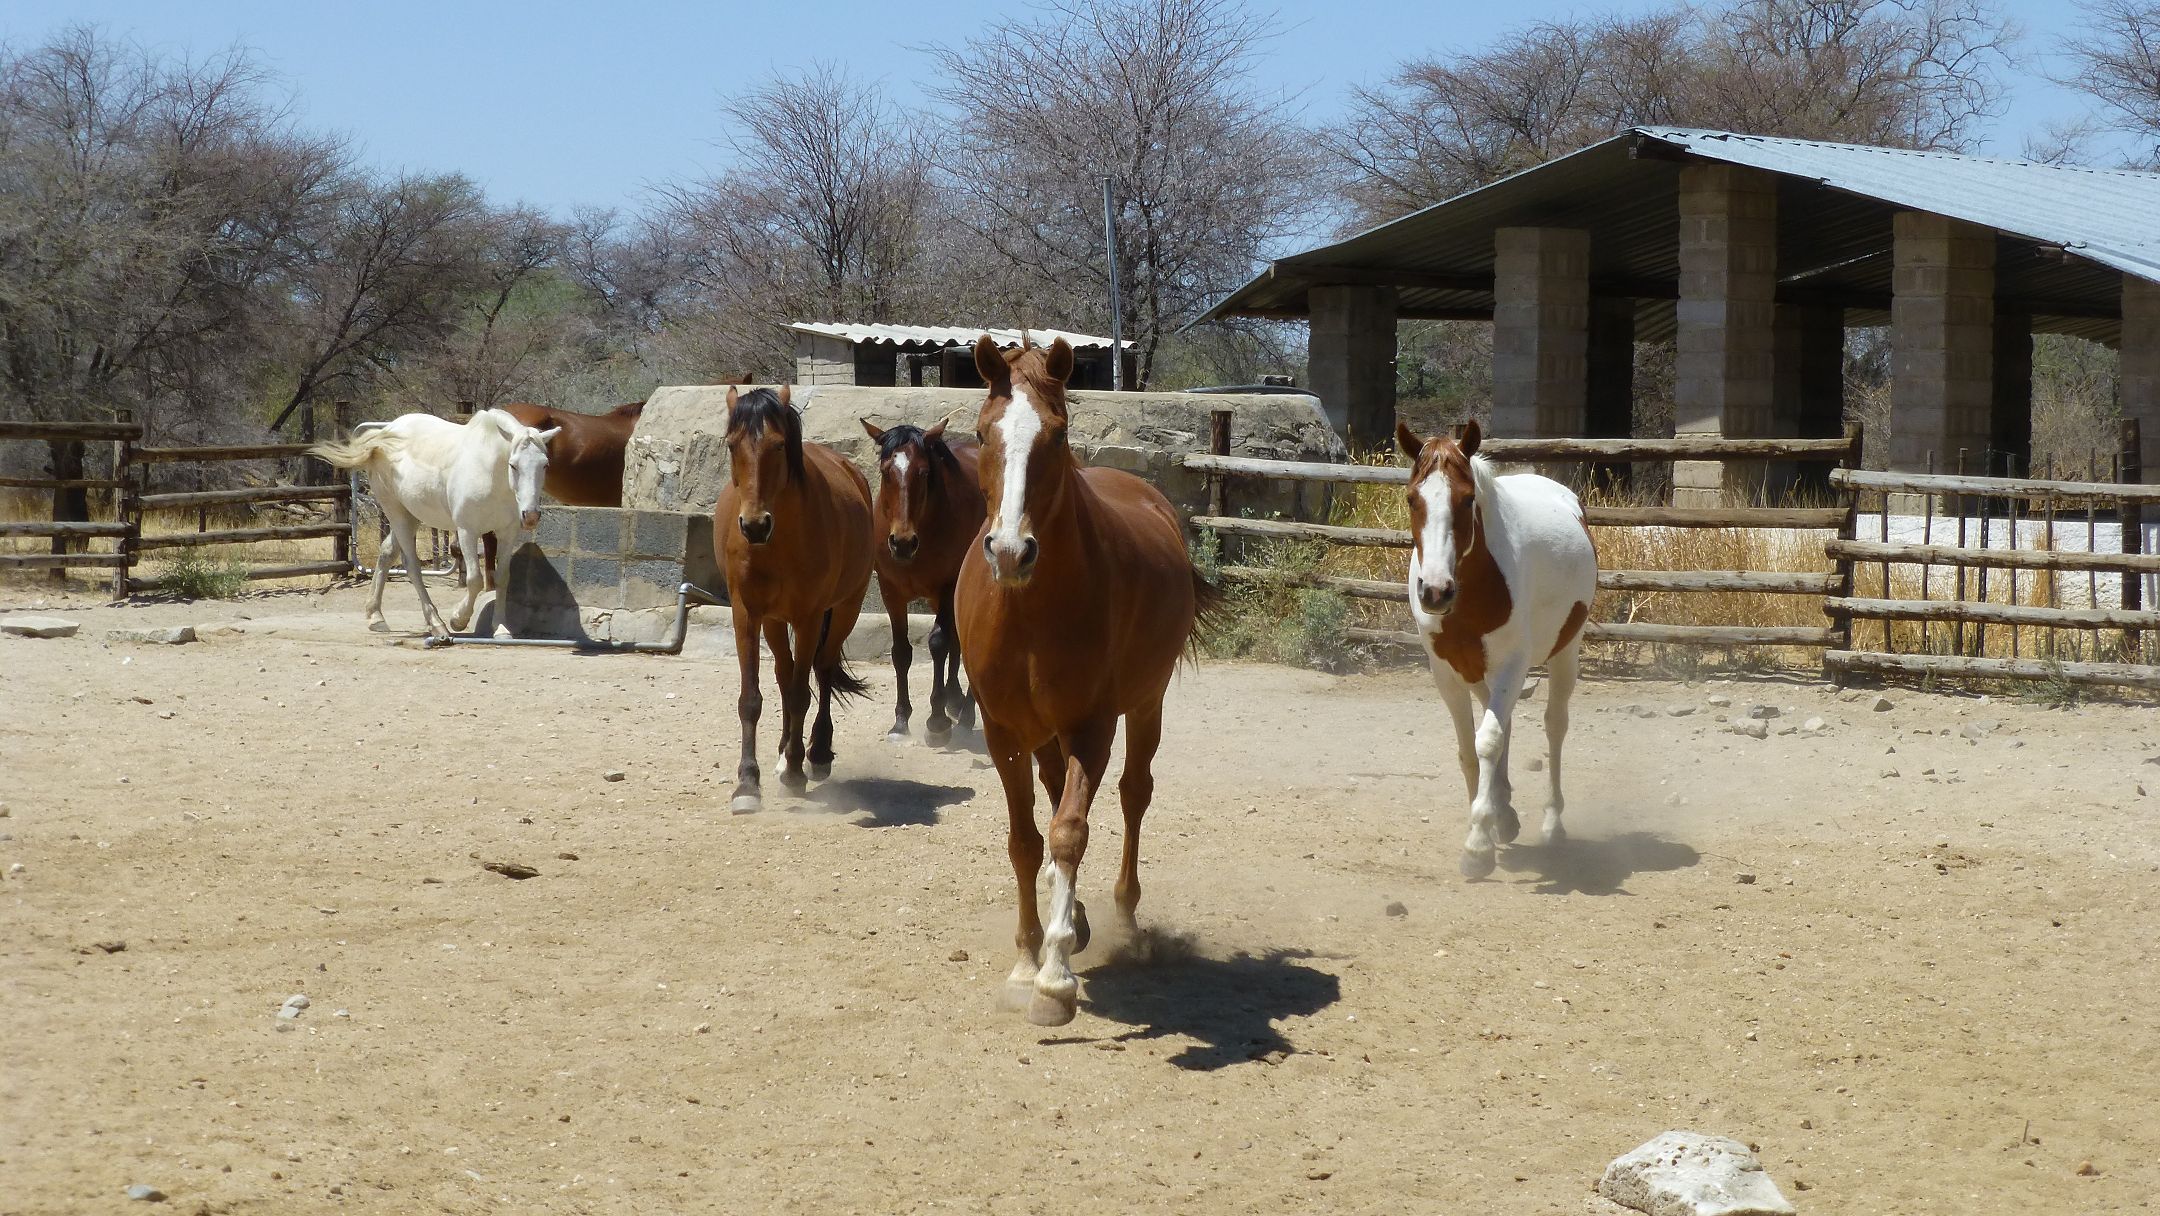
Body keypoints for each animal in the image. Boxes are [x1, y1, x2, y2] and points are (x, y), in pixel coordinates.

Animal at [712, 384, 872, 812]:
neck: (777, 543)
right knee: (785, 674)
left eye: (779, 445)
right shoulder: (747, 614)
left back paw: (814, 753)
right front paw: (747, 783)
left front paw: (797, 771)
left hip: (845, 609)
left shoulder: (809, 616)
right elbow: (752, 699)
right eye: (732, 445)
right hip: (773, 621)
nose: (754, 525)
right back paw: (786, 750)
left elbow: (802, 693)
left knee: (823, 669)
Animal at [864, 419, 989, 747]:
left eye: (923, 472)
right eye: (885, 471)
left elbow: (938, 644)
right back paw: (955, 700)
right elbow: (900, 652)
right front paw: (900, 720)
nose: (902, 542)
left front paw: (937, 720)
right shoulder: (891, 591)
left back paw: (964, 713)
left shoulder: (948, 586)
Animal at [959, 334, 1226, 1028]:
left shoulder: (1093, 725)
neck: (1029, 611)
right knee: (1057, 794)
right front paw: (1027, 959)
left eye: (1056, 436)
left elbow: (1069, 832)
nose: (1010, 551)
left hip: (1145, 706)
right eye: (982, 432)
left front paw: (1054, 979)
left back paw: (1124, 922)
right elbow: (1026, 842)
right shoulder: (1003, 732)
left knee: (1133, 795)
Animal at [1399, 423, 1607, 881]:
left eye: (1467, 498)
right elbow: (1469, 750)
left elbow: (1488, 742)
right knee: (1504, 722)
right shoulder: (1446, 672)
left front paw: (1478, 844)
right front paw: (1490, 822)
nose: (1435, 591)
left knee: (1554, 726)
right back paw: (1505, 812)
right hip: (1482, 673)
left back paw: (1552, 824)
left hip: (1564, 654)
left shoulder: (1513, 666)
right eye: (1411, 498)